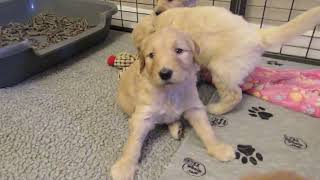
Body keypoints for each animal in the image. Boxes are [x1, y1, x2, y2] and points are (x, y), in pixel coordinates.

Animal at [111, 27, 234, 179]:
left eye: (179, 50)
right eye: (151, 55)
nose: (165, 73)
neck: (170, 90)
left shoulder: (194, 107)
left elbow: (207, 130)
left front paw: (218, 148)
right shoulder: (142, 116)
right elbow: (133, 143)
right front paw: (124, 167)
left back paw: (177, 128)